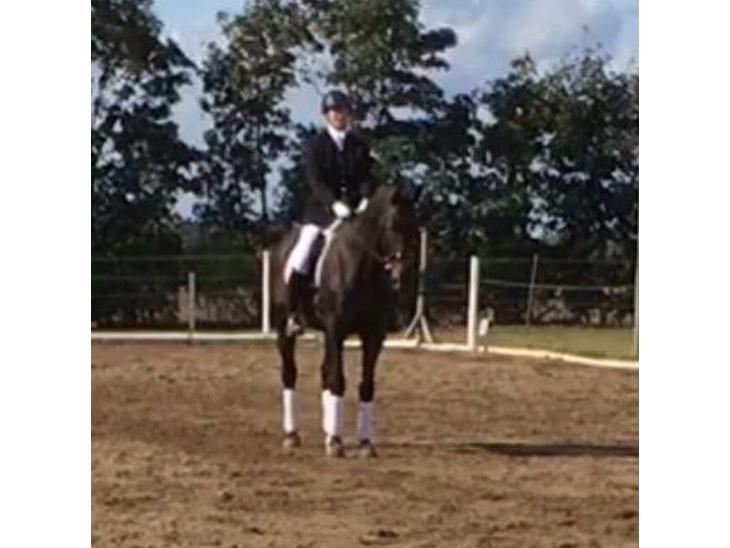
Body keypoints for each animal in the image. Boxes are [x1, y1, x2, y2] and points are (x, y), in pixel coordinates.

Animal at [271, 183, 419, 457]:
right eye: (393, 225)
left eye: (415, 226)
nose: (400, 274)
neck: (362, 265)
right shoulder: (336, 329)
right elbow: (338, 381)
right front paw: (336, 443)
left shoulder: (373, 335)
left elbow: (366, 384)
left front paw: (364, 443)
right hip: (284, 328)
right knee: (290, 374)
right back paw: (292, 435)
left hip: (324, 334)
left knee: (323, 374)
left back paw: (327, 431)